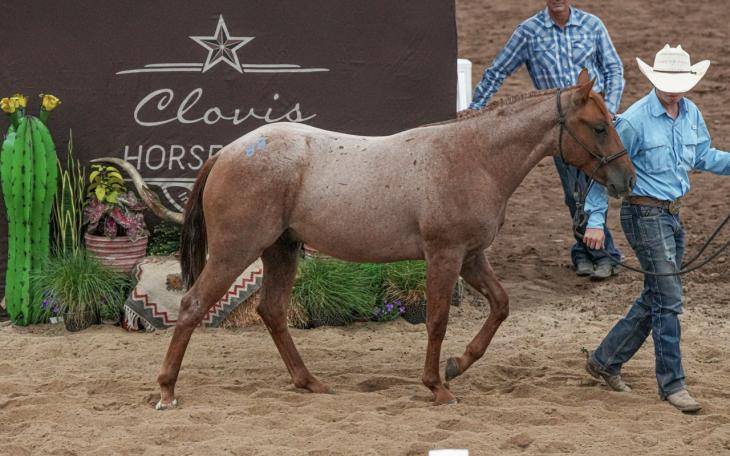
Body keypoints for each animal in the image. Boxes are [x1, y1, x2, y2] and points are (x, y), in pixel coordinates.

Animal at [154, 69, 635, 409]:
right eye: (598, 126)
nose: (626, 180)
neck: (473, 158)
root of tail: (227, 152)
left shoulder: (471, 257)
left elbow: (500, 305)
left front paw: (456, 366)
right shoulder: (445, 255)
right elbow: (437, 320)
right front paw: (437, 386)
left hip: (280, 250)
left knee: (272, 311)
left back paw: (310, 382)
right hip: (236, 251)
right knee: (193, 306)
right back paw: (166, 391)